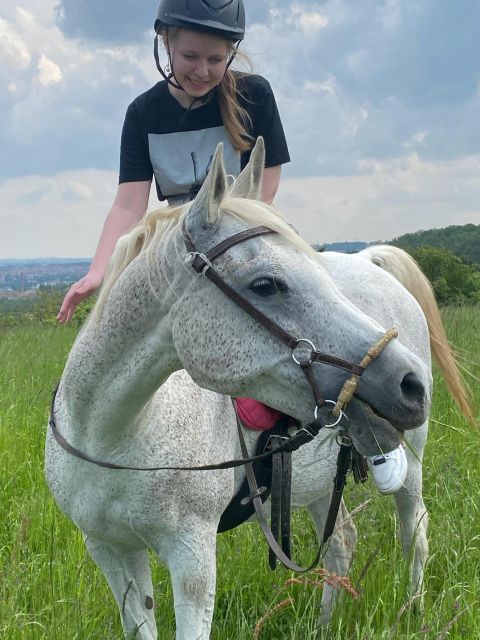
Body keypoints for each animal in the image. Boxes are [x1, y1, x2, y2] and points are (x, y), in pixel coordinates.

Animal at [45, 139, 442, 640]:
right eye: (266, 284)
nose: (411, 383)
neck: (115, 434)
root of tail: (371, 262)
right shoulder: (110, 550)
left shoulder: (192, 556)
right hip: (315, 483)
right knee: (341, 544)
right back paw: (322, 625)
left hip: (410, 464)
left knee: (415, 535)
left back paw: (414, 613)